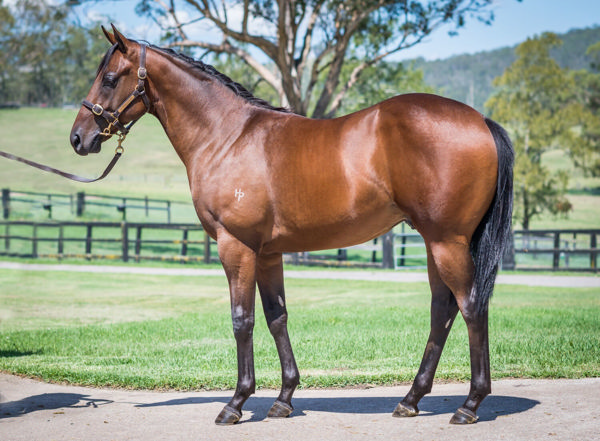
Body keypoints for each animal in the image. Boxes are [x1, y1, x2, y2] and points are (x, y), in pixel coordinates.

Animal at [69, 25, 510, 424]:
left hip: (447, 241)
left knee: (471, 307)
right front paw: (283, 398)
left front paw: (236, 403)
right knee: (442, 311)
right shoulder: (268, 253)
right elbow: (275, 316)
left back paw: (470, 404)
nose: (78, 138)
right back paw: (411, 399)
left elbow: (242, 320)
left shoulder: (236, 246)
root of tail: (480, 120)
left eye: (110, 78)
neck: (227, 136)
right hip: (435, 242)